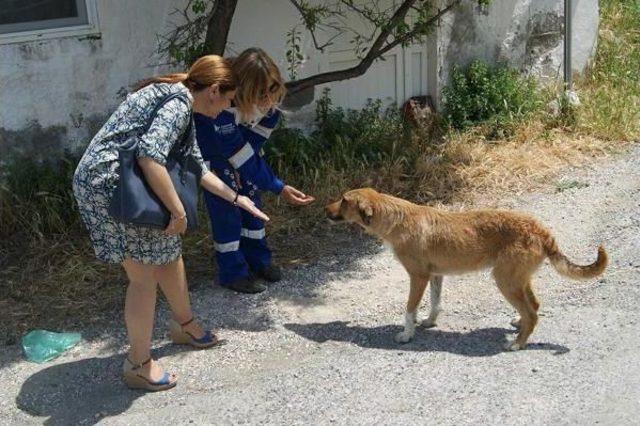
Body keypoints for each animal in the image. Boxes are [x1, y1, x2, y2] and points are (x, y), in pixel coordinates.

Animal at [328, 188, 608, 352]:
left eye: (343, 200)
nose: (324, 209)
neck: (398, 218)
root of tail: (542, 230)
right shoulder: (435, 275)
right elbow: (435, 303)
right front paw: (429, 322)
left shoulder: (418, 277)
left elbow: (409, 310)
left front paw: (407, 335)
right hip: (517, 279)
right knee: (534, 306)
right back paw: (518, 324)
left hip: (504, 281)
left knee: (532, 314)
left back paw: (517, 344)